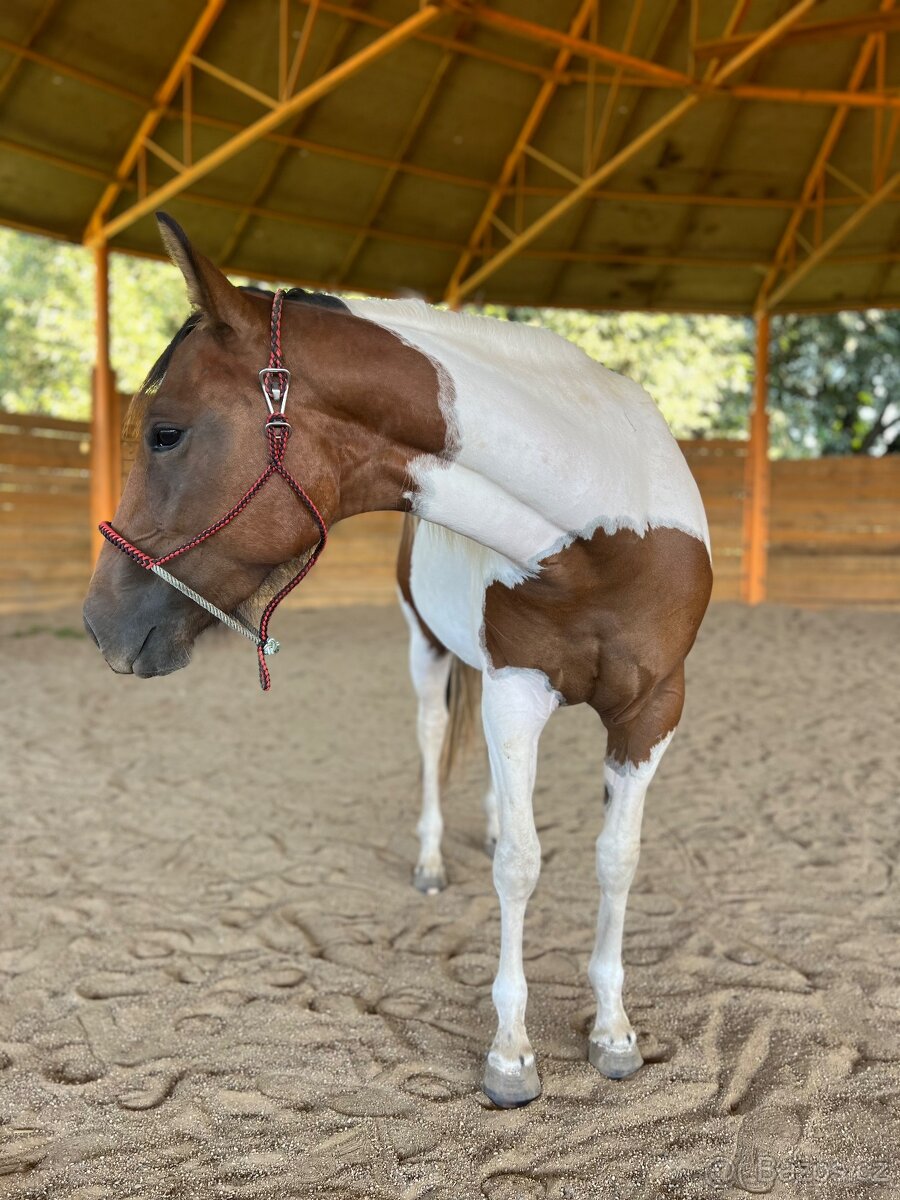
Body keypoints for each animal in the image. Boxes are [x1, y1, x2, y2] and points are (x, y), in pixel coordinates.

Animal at [84, 213, 713, 1108]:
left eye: (166, 433)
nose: (101, 622)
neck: (603, 529)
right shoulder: (518, 691)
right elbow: (521, 865)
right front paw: (511, 1054)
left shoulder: (653, 708)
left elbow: (615, 860)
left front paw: (614, 1030)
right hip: (431, 654)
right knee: (430, 740)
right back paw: (430, 859)